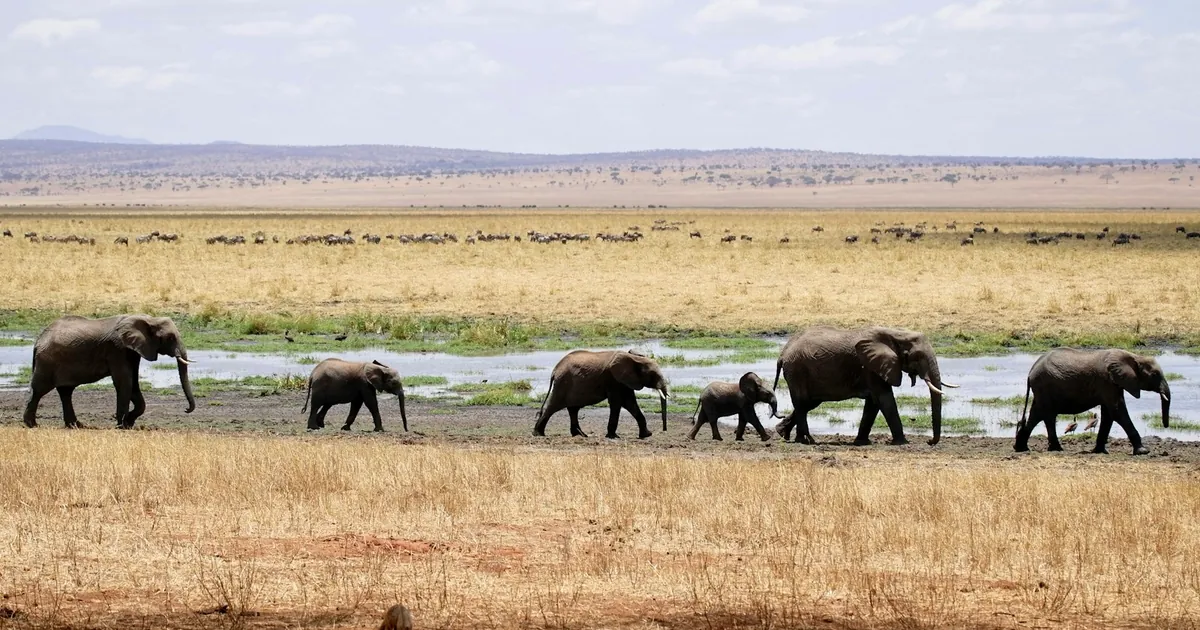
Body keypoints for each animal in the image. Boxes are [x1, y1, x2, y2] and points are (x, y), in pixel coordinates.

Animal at [23, 314, 196, 429]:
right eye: (171, 338)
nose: (186, 409)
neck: (148, 319)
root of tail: (38, 341)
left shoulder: (132, 351)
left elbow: (133, 382)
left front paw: (128, 423)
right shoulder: (117, 349)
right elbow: (124, 381)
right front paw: (121, 426)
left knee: (66, 392)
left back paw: (76, 426)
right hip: (47, 362)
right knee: (39, 390)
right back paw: (32, 425)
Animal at [533, 350, 670, 439]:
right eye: (653, 375)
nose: (664, 430)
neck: (634, 358)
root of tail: (555, 370)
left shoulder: (624, 381)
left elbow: (630, 403)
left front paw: (646, 435)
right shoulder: (613, 379)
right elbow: (617, 402)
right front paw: (613, 436)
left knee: (573, 409)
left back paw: (581, 435)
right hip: (563, 384)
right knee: (553, 407)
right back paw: (538, 434)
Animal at [772, 326, 956, 446]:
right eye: (916, 357)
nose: (929, 442)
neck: (895, 334)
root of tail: (783, 353)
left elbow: (873, 403)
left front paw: (862, 442)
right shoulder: (871, 367)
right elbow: (885, 399)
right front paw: (902, 443)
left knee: (808, 403)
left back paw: (786, 435)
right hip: (797, 370)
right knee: (802, 403)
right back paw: (807, 441)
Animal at [1013, 348, 1170, 455]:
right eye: (1155, 374)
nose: (1165, 426)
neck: (1134, 356)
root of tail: (1031, 371)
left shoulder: (1113, 383)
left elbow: (1108, 415)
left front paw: (1099, 451)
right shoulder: (1107, 382)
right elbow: (1117, 411)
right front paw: (1143, 451)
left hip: (1042, 390)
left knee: (1038, 415)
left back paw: (1024, 448)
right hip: (1044, 387)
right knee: (1046, 415)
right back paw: (1053, 449)